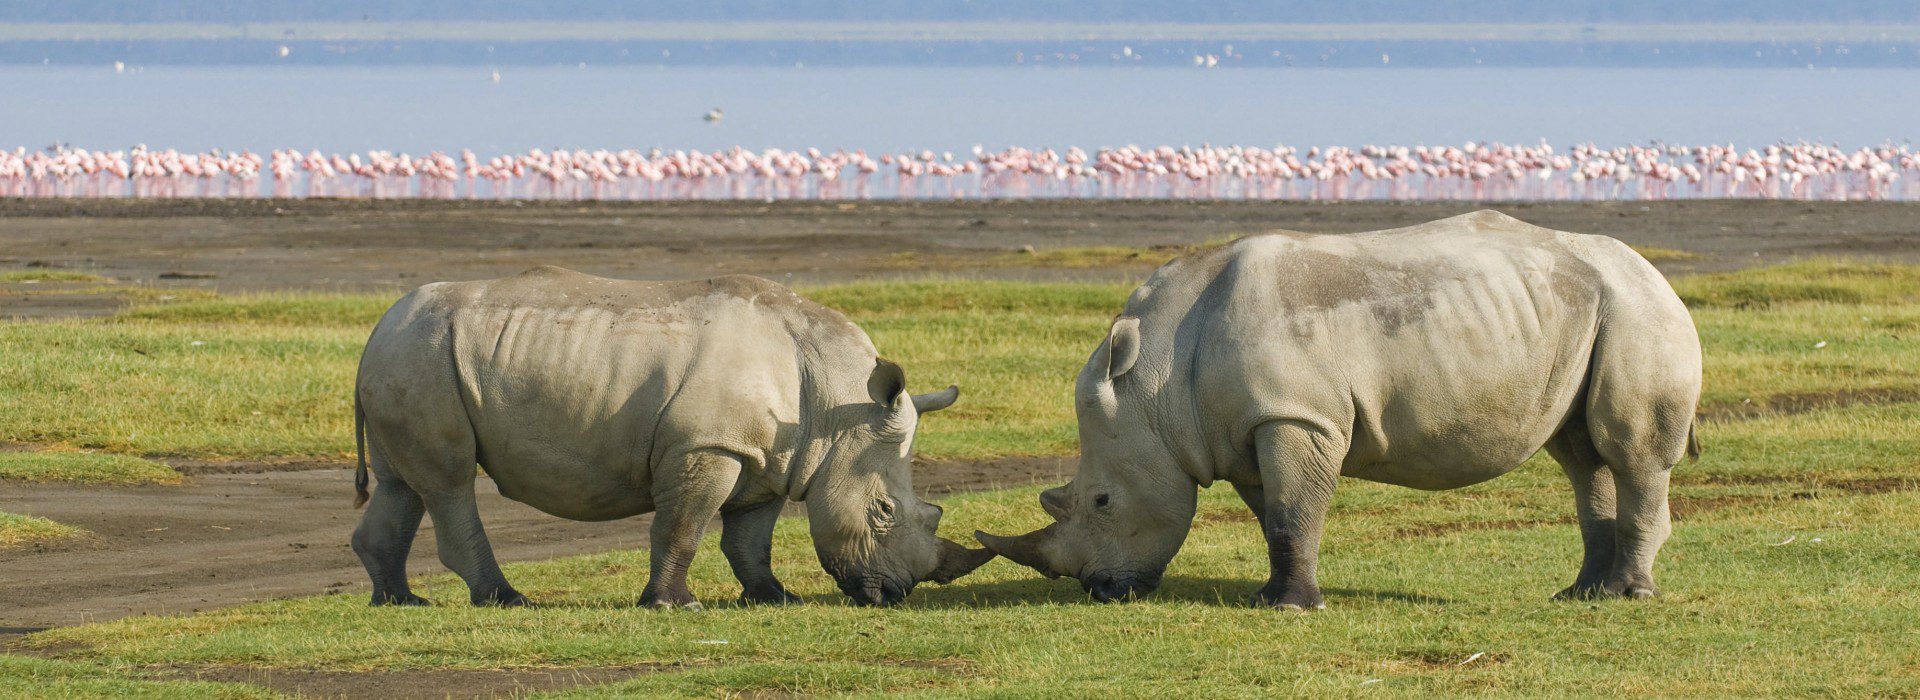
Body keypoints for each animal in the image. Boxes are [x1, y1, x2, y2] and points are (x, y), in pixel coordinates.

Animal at [350, 267, 993, 609]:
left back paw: (399, 600)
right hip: (422, 356)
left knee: (403, 484)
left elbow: (750, 538)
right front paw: (672, 605)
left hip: (412, 354)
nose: (894, 594)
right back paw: (507, 600)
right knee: (449, 481)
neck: (837, 407)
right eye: (883, 511)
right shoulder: (706, 445)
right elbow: (682, 527)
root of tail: (377, 327)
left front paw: (774, 597)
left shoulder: (768, 456)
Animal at [977, 211, 1702, 608]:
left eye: (1102, 502)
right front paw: (1270, 597)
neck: (1157, 384)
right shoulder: (1247, 427)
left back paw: (1628, 595)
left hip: (1639, 311)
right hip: (1587, 314)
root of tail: (1656, 271)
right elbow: (1275, 516)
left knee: (1629, 450)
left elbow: (1294, 510)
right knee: (1582, 454)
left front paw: (1291, 609)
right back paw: (1581, 595)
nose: (1098, 588)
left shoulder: (1296, 414)